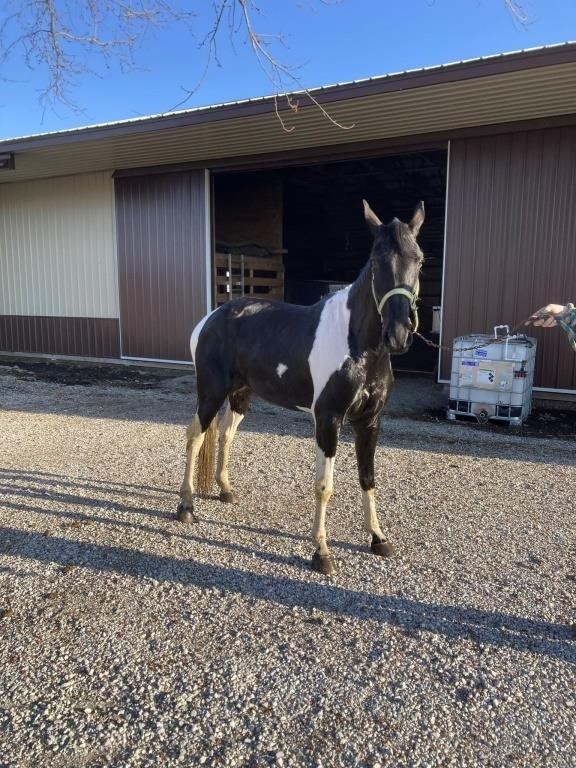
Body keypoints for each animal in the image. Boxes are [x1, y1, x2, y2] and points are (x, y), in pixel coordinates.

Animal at [178, 201, 426, 572]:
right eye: (377, 261)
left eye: (419, 259)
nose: (397, 334)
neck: (359, 347)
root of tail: (211, 318)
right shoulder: (328, 419)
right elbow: (324, 485)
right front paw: (321, 552)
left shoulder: (369, 421)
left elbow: (367, 478)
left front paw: (378, 539)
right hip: (210, 393)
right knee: (195, 437)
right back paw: (186, 507)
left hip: (240, 395)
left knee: (224, 435)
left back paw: (225, 490)